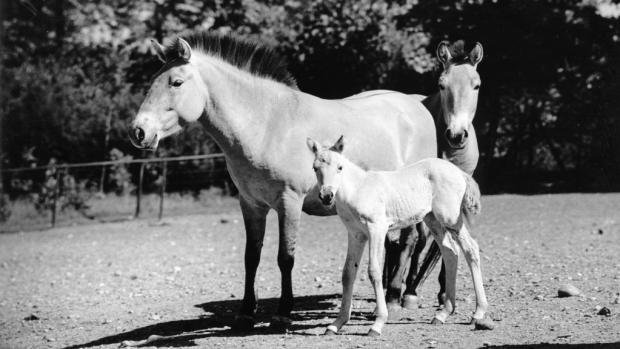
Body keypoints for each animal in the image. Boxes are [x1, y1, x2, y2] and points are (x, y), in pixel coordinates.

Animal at [128, 30, 436, 328]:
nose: (138, 132)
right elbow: (251, 257)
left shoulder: (289, 202)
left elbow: (285, 257)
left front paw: (284, 311)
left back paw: (396, 298)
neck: (267, 124)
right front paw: (246, 312)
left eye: (176, 82)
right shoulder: (251, 204)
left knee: (410, 241)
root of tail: (417, 106)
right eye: (153, 82)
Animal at [306, 135, 490, 334]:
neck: (358, 189)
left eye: (340, 167)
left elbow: (374, 271)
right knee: (450, 252)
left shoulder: (376, 229)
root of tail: (460, 173)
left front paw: (378, 323)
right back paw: (443, 314)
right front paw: (336, 323)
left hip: (450, 218)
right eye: (315, 168)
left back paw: (478, 313)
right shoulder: (356, 234)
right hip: (432, 219)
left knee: (470, 248)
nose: (327, 196)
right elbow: (348, 273)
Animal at [382, 40, 484, 310]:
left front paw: (443, 291)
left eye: (476, 85)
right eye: (442, 84)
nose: (457, 135)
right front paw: (401, 292)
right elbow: (414, 239)